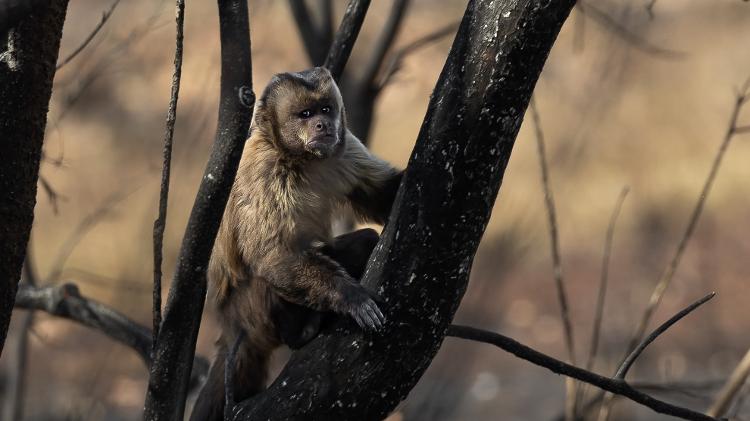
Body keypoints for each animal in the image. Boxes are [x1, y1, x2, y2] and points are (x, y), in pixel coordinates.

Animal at [192, 67, 406, 418]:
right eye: (305, 114)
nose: (322, 125)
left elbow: (382, 196)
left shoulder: (345, 147)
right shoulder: (265, 174)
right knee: (265, 276)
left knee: (365, 240)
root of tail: (230, 324)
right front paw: (350, 297)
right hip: (250, 312)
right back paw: (298, 332)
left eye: (325, 110)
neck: (300, 159)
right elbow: (271, 256)